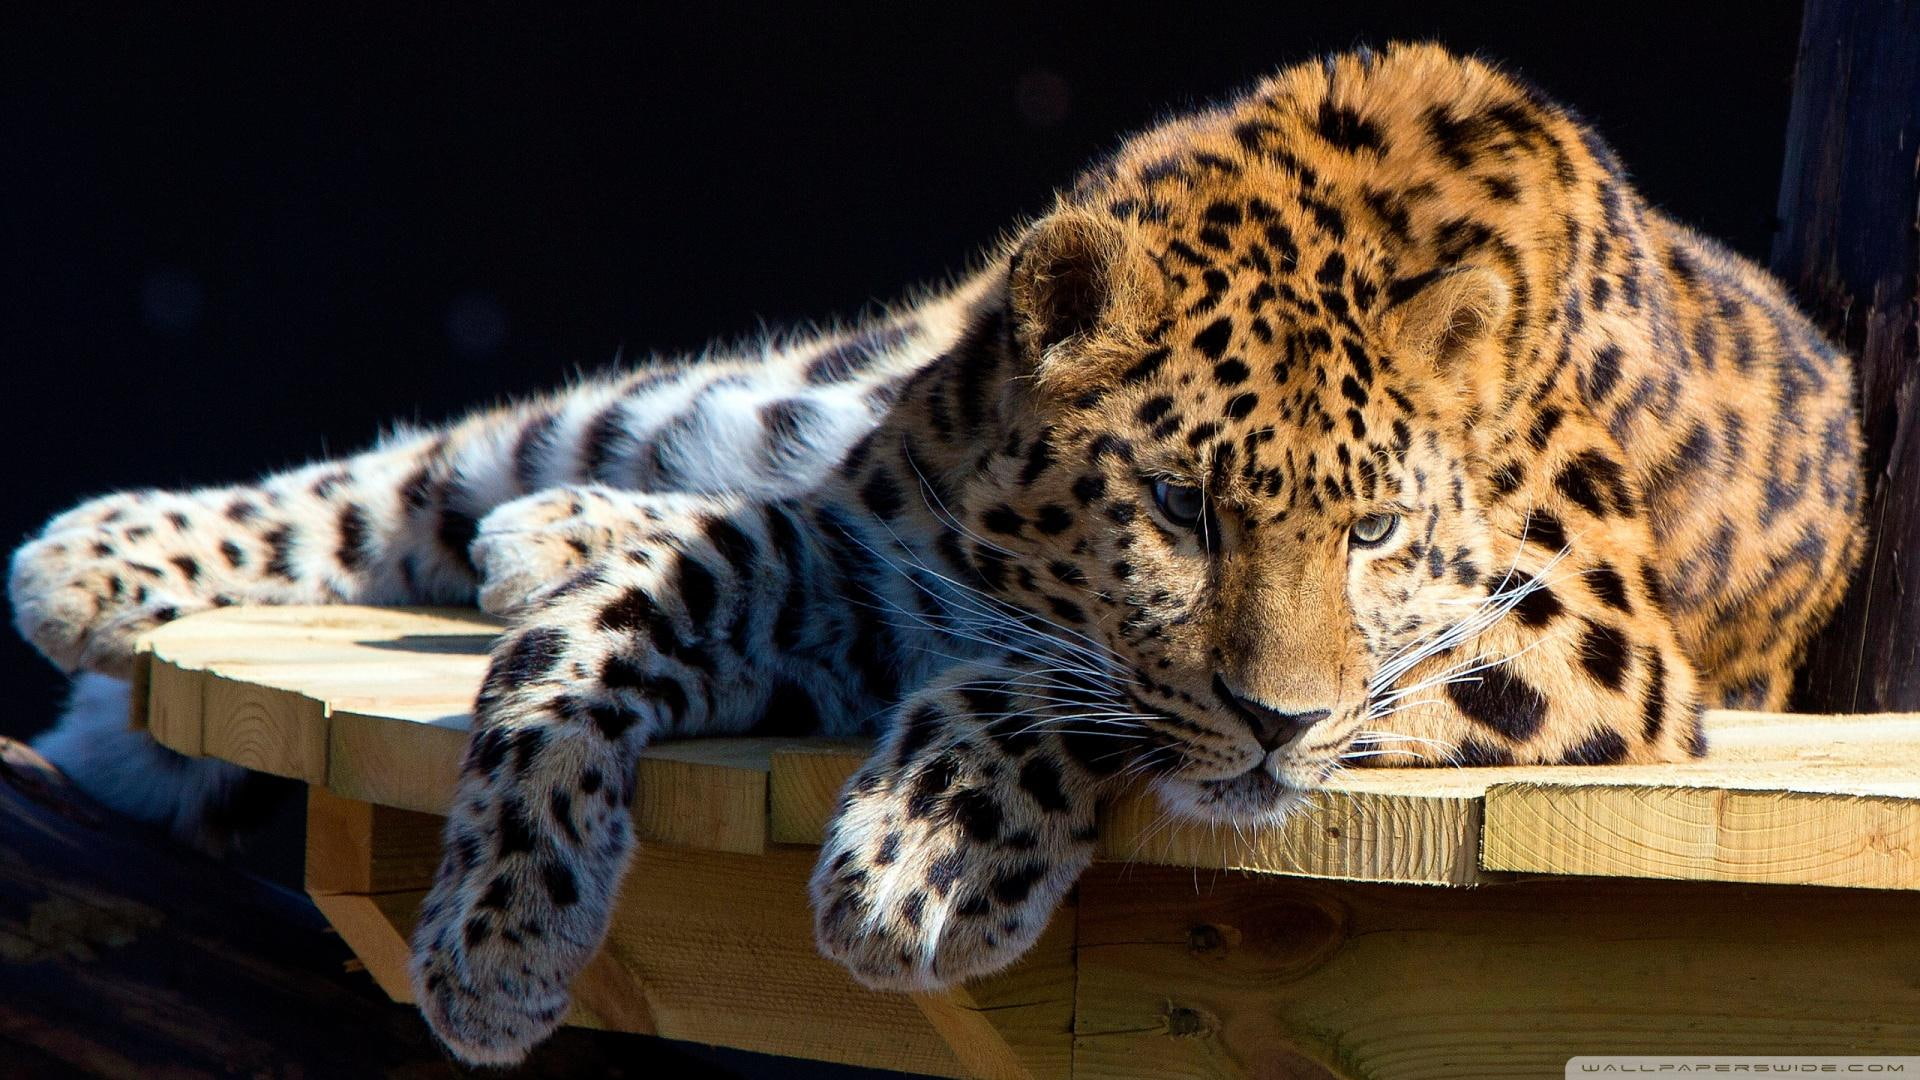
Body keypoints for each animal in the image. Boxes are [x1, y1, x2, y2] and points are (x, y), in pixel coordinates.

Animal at [8, 43, 1862, 1065]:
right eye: (1180, 510)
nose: (1277, 729)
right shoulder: (868, 561)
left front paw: (923, 860)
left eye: (1377, 532)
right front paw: (500, 927)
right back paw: (101, 565)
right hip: (744, 403)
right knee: (469, 457)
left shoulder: (1583, 647)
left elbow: (1057, 690)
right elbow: (605, 633)